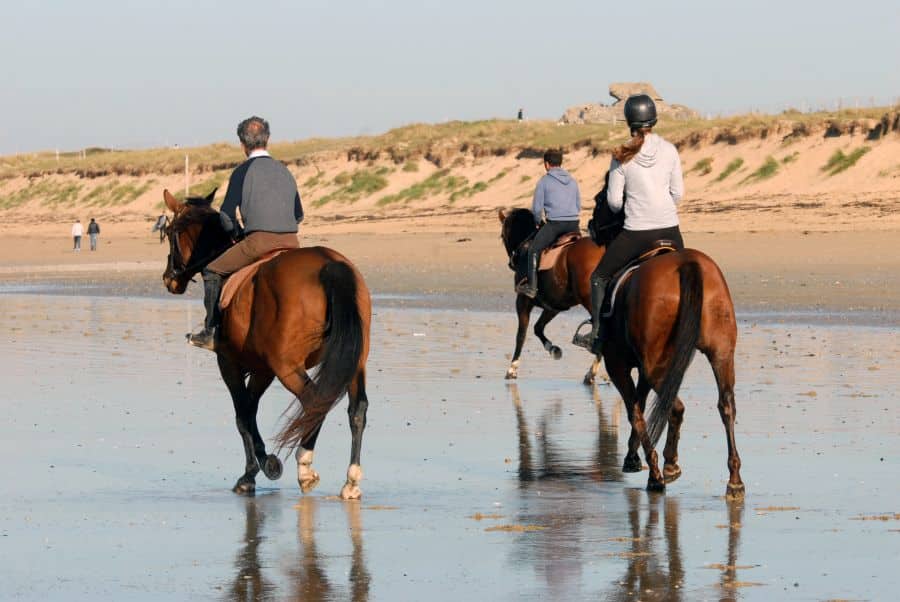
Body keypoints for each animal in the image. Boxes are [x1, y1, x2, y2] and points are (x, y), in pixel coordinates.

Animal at [163, 189, 372, 496]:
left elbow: (242, 415)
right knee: (357, 410)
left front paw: (252, 472)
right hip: (353, 361)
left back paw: (305, 466)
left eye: (168, 233)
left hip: (288, 368)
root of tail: (329, 263)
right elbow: (250, 410)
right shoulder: (263, 368)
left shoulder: (229, 362)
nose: (169, 280)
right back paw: (351, 481)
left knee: (314, 402)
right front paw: (266, 462)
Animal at [496, 204, 740, 494]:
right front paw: (633, 456)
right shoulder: (556, 309)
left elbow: (523, 333)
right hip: (718, 354)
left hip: (644, 355)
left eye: (502, 235)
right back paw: (732, 480)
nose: (511, 262)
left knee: (674, 406)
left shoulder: (525, 302)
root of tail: (687, 264)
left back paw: (663, 470)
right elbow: (640, 405)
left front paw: (514, 367)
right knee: (724, 406)